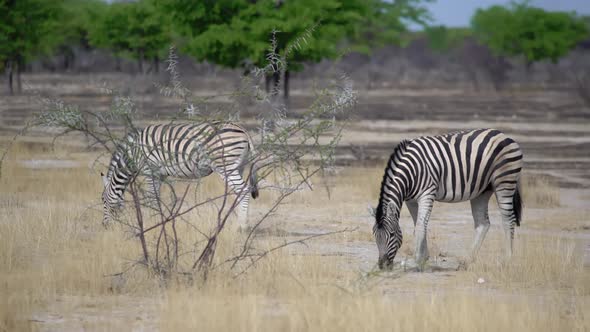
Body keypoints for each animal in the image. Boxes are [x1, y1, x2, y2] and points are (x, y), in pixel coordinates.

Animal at [101, 122, 260, 228]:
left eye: (103, 200)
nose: (104, 226)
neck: (133, 154)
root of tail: (243, 130)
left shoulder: (150, 170)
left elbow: (152, 198)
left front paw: (151, 223)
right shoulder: (160, 174)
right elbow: (157, 198)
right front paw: (159, 220)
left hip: (225, 165)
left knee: (243, 190)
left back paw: (241, 226)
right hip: (239, 166)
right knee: (238, 192)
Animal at [372, 129, 524, 270]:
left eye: (392, 234)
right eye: (375, 235)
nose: (382, 265)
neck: (410, 171)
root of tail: (503, 135)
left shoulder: (427, 193)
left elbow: (421, 226)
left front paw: (417, 260)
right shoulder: (410, 200)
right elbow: (418, 224)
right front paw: (423, 258)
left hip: (505, 181)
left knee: (508, 220)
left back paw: (506, 261)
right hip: (482, 191)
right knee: (483, 224)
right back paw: (467, 261)